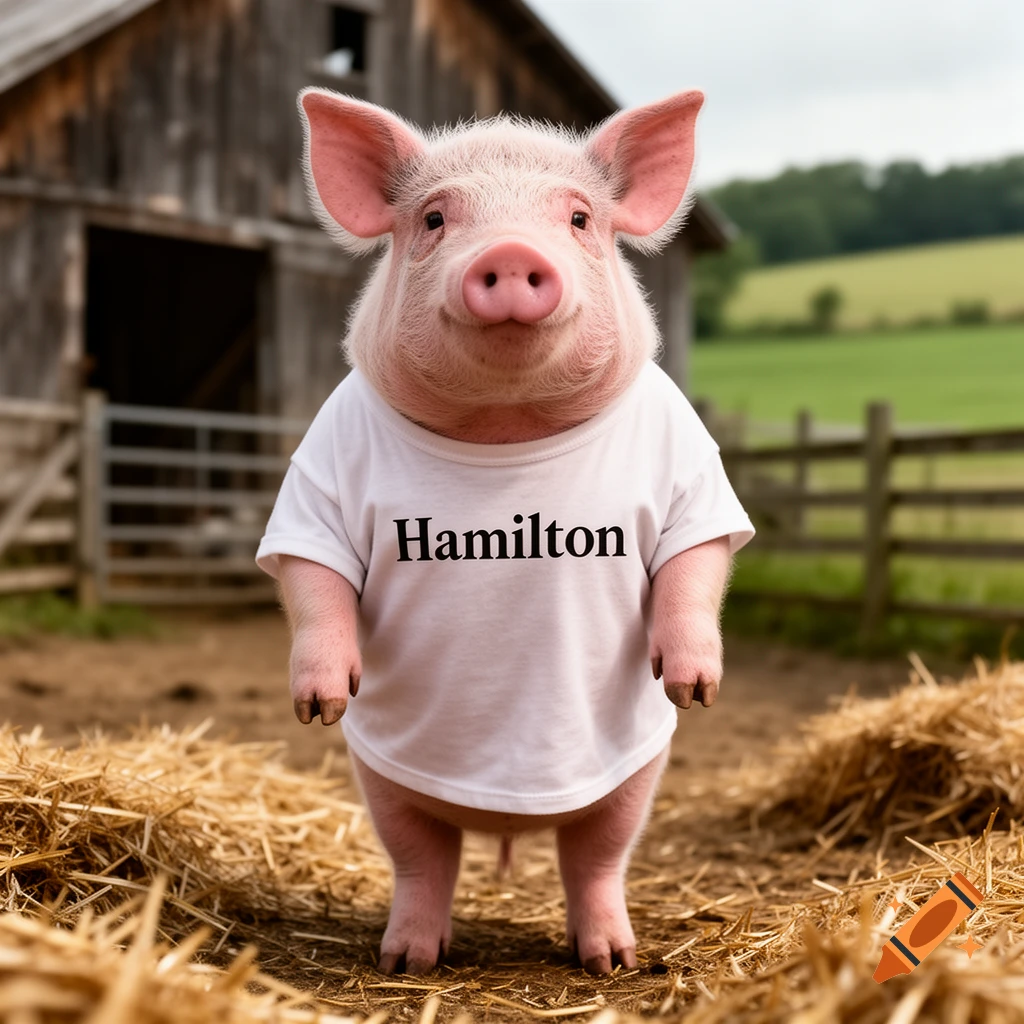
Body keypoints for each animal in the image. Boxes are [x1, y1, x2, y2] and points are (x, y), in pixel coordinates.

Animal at [256, 86, 755, 976]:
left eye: (580, 218)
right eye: (434, 218)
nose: (515, 253)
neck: (506, 426)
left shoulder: (688, 464)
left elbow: (693, 563)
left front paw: (694, 687)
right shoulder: (320, 470)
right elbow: (317, 582)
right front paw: (319, 701)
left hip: (632, 780)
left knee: (596, 854)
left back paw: (612, 959)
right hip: (385, 781)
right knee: (424, 854)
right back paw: (409, 959)